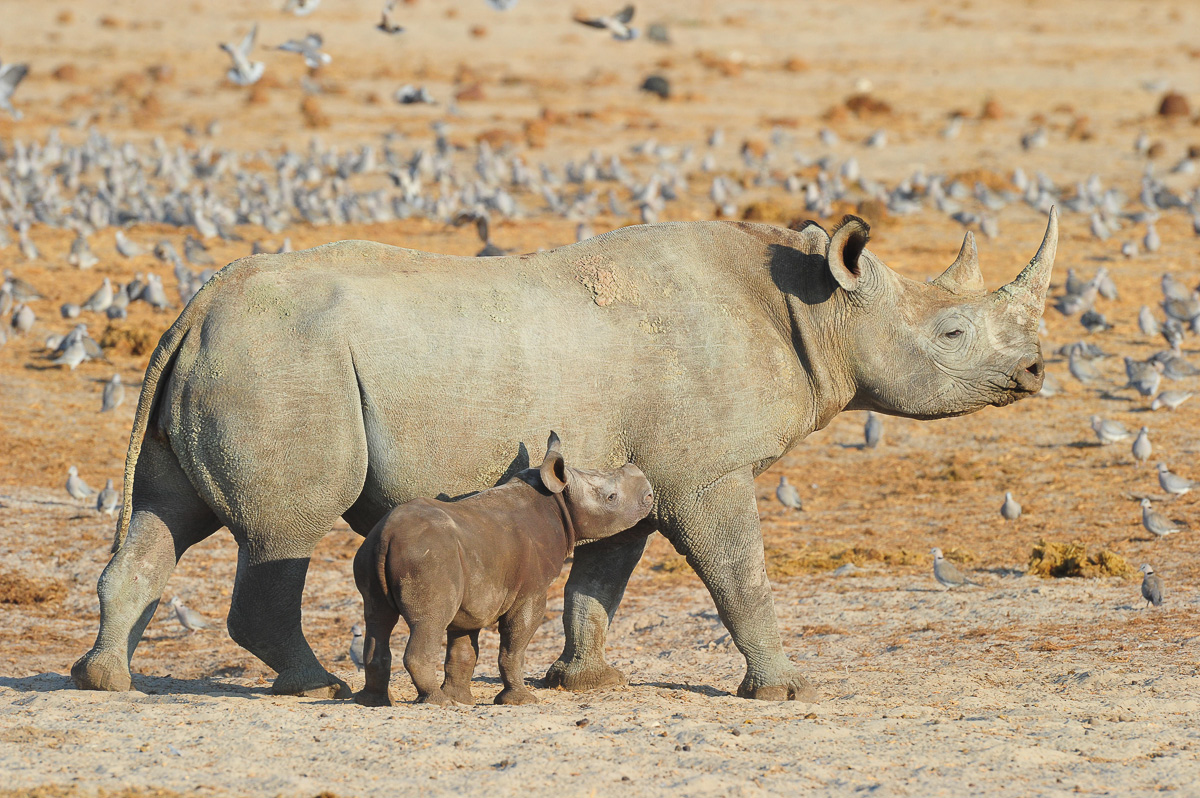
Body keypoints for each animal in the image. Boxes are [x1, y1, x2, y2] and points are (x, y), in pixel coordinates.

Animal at [72, 210, 1057, 701]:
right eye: (953, 333)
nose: (1040, 370)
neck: (818, 308)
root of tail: (192, 309)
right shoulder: (705, 473)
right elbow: (740, 573)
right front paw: (786, 691)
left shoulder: (637, 470)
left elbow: (602, 579)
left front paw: (588, 681)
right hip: (280, 361)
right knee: (282, 534)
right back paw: (317, 688)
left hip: (230, 357)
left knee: (163, 517)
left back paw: (106, 682)